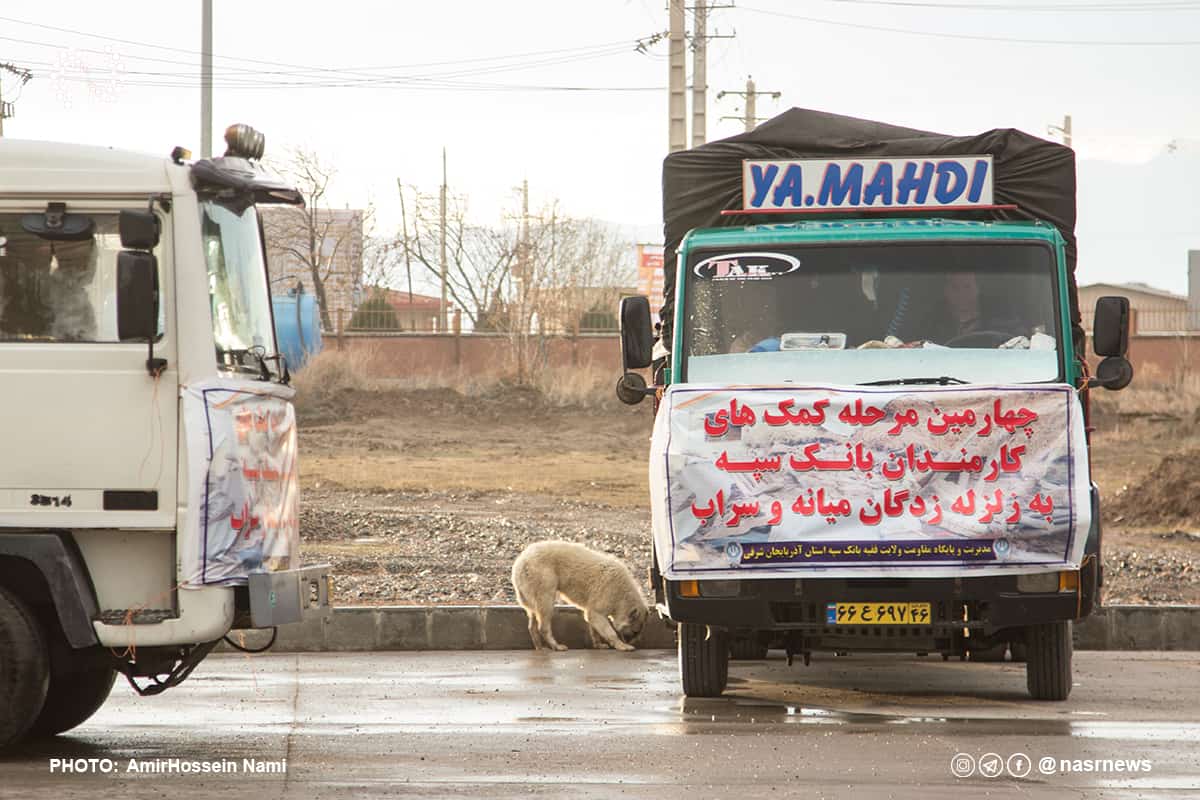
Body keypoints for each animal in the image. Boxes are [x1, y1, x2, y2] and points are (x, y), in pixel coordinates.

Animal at [511, 542, 652, 652]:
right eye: (635, 632)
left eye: (638, 632)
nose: (632, 642)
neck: (622, 593)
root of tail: (519, 563)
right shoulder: (607, 590)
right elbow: (597, 616)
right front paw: (623, 646)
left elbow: (592, 619)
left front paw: (599, 644)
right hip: (542, 576)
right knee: (545, 610)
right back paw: (557, 646)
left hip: (528, 587)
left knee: (532, 615)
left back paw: (540, 647)